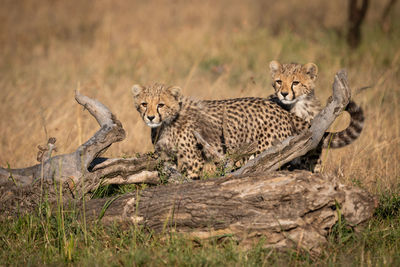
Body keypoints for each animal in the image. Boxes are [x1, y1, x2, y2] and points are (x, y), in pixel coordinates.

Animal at [133, 83, 308, 180]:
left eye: (161, 105)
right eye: (144, 104)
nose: (150, 117)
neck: (165, 123)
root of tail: (281, 110)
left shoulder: (193, 160)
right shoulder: (167, 158)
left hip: (265, 151)